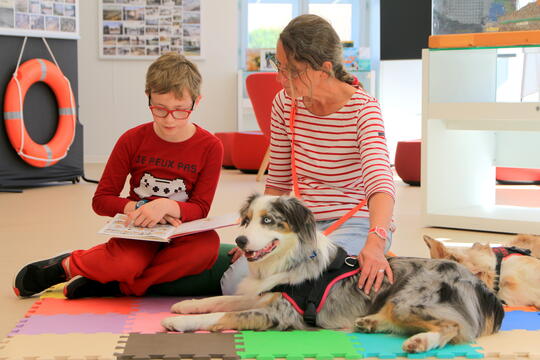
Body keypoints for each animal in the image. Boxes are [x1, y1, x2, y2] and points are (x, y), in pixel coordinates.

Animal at [162, 195, 504, 352]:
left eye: (268, 221)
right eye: (247, 220)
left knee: (455, 327)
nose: (241, 241)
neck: (287, 260)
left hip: (408, 300)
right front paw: (186, 305)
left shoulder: (280, 312)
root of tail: (482, 287)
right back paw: (369, 322)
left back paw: (421, 341)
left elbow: (222, 316)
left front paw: (179, 322)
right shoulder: (263, 295)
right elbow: (221, 301)